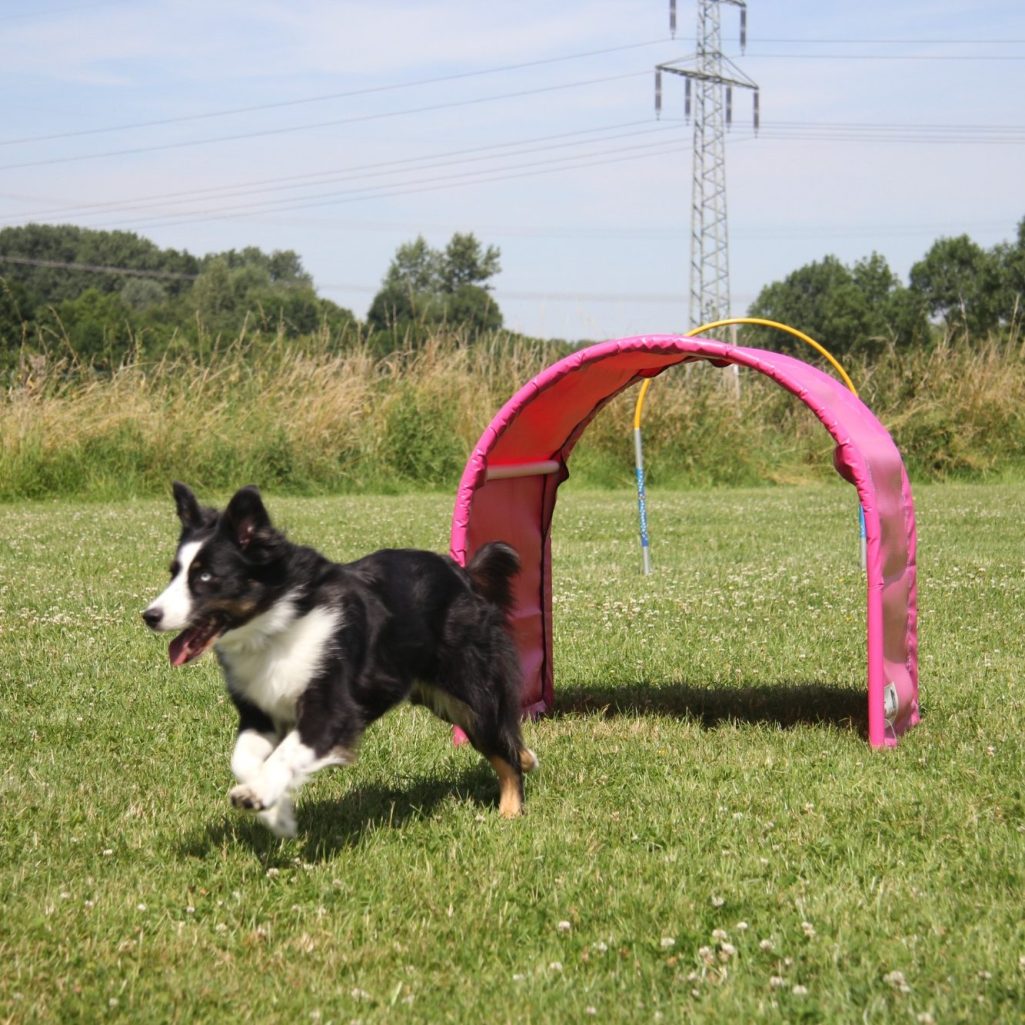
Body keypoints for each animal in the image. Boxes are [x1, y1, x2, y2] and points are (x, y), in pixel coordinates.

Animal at [142, 482, 537, 837]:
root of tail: (463, 574)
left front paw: (259, 795)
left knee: (502, 743)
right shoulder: (261, 709)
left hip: (469, 688)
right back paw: (527, 761)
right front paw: (276, 814)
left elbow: (288, 753)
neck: (276, 623)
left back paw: (510, 810)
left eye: (206, 576)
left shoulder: (332, 709)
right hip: (442, 698)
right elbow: (243, 760)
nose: (149, 616)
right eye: (174, 573)